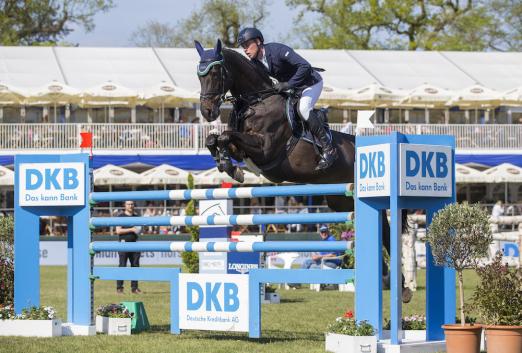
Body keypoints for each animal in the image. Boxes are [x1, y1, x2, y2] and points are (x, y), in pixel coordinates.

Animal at [194, 40, 354, 213]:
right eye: (199, 76)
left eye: (215, 73)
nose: (207, 111)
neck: (257, 101)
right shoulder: (239, 150)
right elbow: (213, 138)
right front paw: (223, 163)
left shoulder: (265, 149)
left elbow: (224, 136)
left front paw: (228, 166)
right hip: (339, 201)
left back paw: (328, 156)